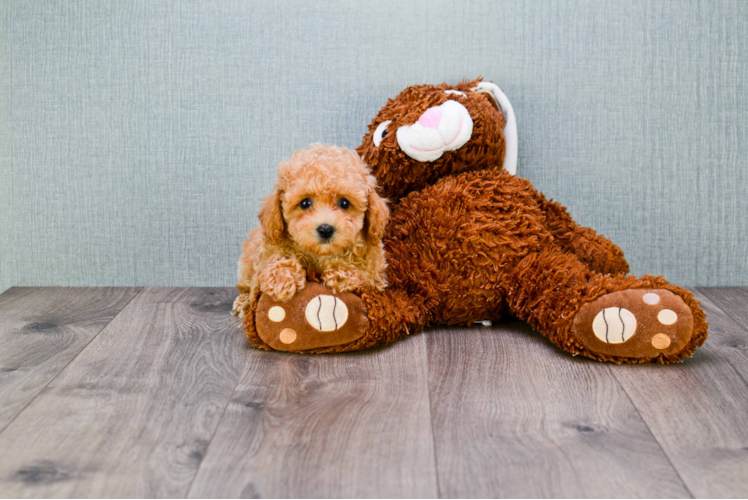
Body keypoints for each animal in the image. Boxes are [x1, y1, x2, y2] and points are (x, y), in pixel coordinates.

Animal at [231, 143, 388, 318]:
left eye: (345, 203)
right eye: (305, 203)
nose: (325, 229)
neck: (320, 254)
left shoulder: (374, 273)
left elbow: (363, 275)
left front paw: (341, 274)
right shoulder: (267, 254)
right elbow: (272, 265)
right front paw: (282, 278)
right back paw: (243, 303)